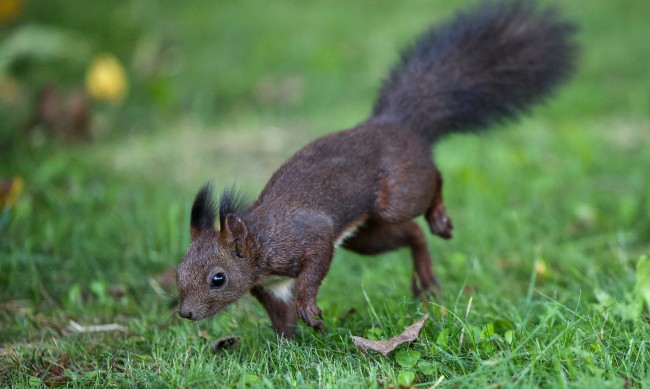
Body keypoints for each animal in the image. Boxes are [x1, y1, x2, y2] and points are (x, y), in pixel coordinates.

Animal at [175, 0, 576, 336]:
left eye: (217, 279)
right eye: (179, 270)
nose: (185, 313)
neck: (260, 242)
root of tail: (395, 123)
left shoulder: (306, 237)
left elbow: (312, 271)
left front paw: (309, 310)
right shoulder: (269, 287)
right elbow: (279, 316)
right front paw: (287, 347)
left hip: (398, 194)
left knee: (433, 182)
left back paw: (439, 217)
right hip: (365, 237)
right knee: (411, 234)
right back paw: (424, 276)